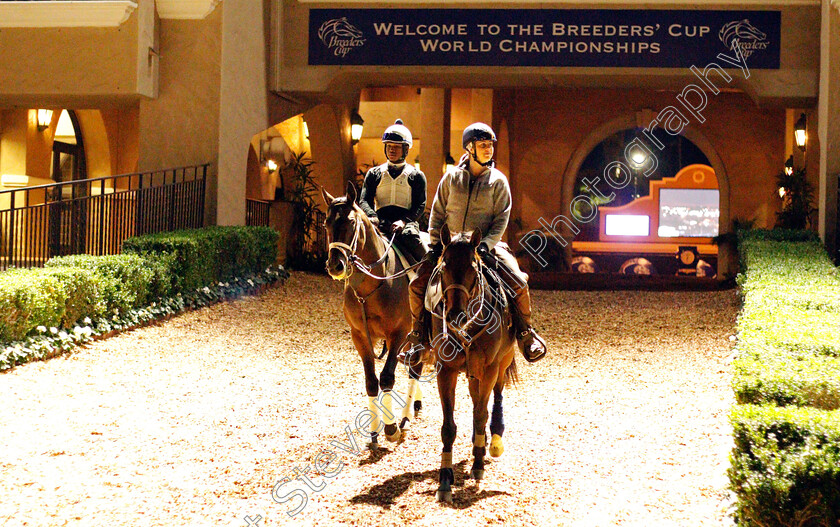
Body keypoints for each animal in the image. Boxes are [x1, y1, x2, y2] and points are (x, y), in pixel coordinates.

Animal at [322, 183, 426, 450]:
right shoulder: (360, 337)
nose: (335, 265)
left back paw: (405, 417)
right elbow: (371, 381)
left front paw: (390, 429)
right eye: (326, 223)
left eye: (350, 222)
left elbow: (387, 377)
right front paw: (373, 432)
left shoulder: (398, 334)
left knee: (415, 368)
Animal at [434, 225, 520, 506]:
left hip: (502, 362)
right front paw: (445, 481)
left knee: (495, 396)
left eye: (473, 268)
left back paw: (491, 441)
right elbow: (448, 427)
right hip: (473, 373)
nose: (455, 316)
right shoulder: (445, 369)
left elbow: (482, 414)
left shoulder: (491, 367)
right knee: (475, 400)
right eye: (444, 267)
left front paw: (479, 464)